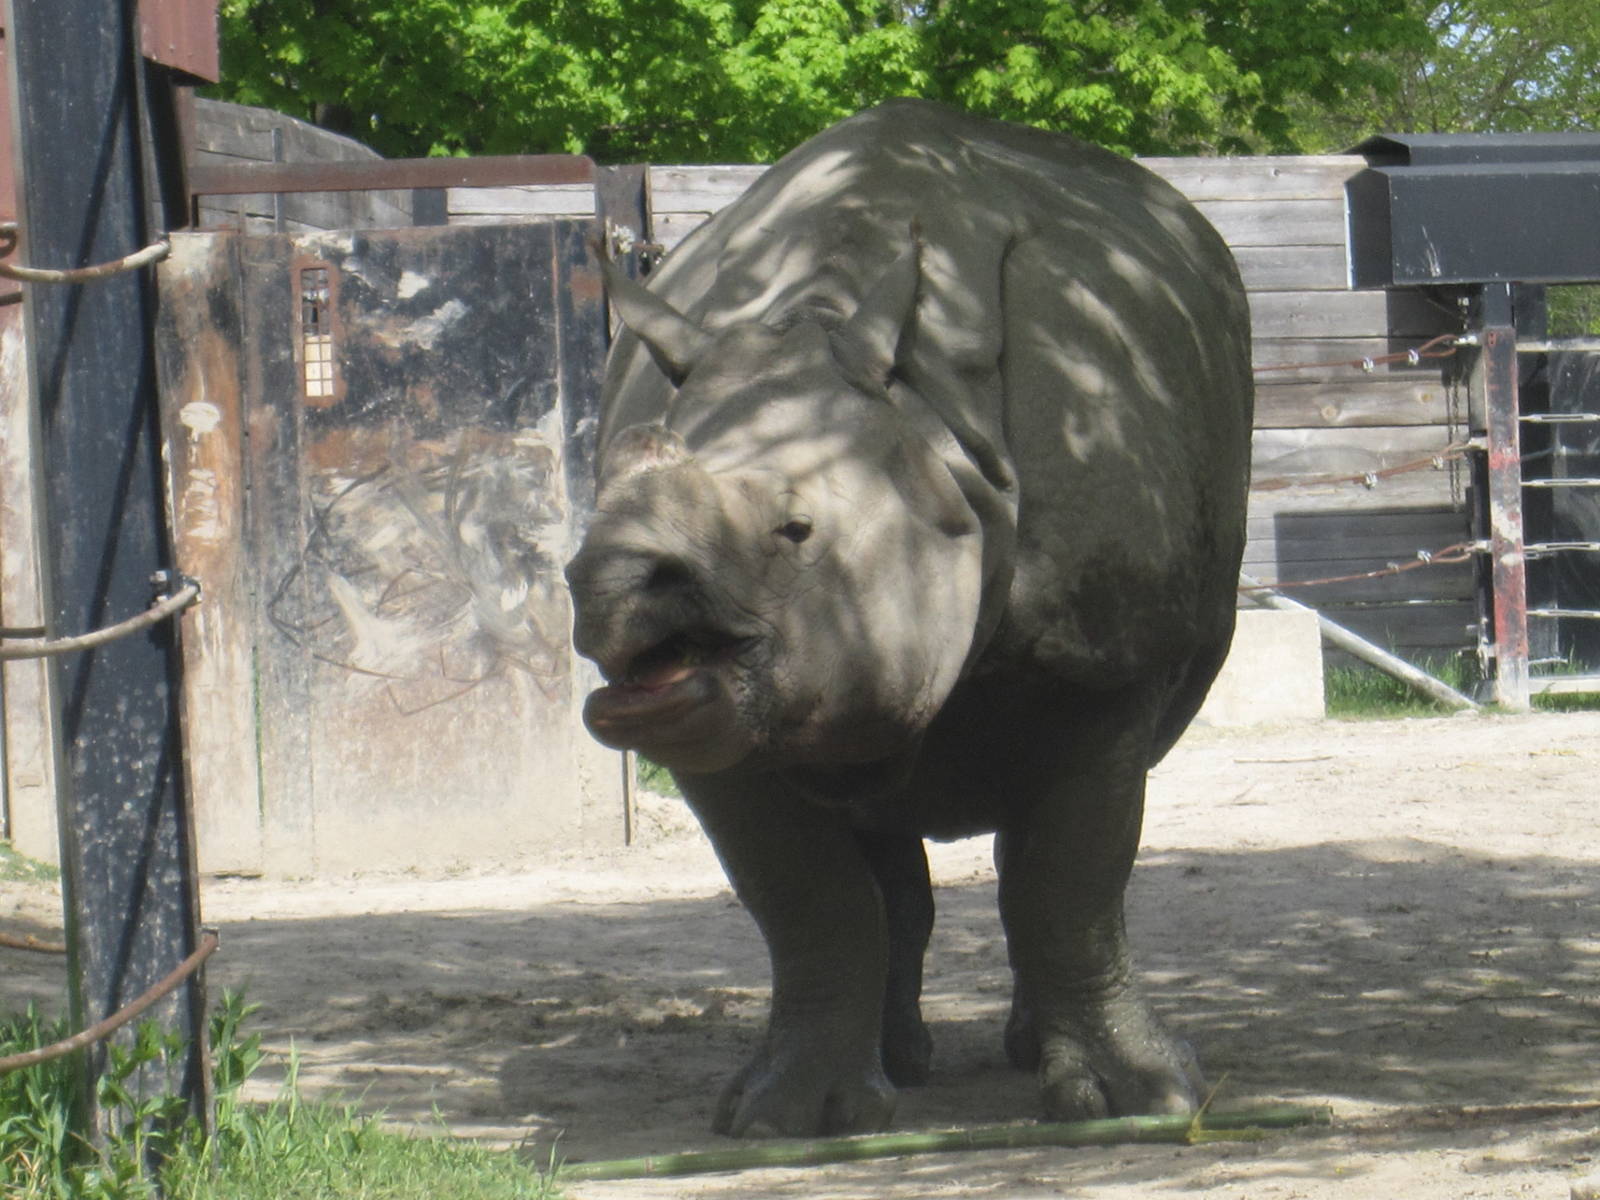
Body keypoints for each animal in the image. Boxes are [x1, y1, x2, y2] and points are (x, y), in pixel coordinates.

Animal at [565, 99, 1253, 1137]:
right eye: (590, 519)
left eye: (797, 529)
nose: (606, 581)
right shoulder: (738, 723)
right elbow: (809, 901)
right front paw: (784, 1119)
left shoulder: (1110, 664)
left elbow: (1073, 877)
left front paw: (1141, 1102)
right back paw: (896, 1067)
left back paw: (1019, 1055)